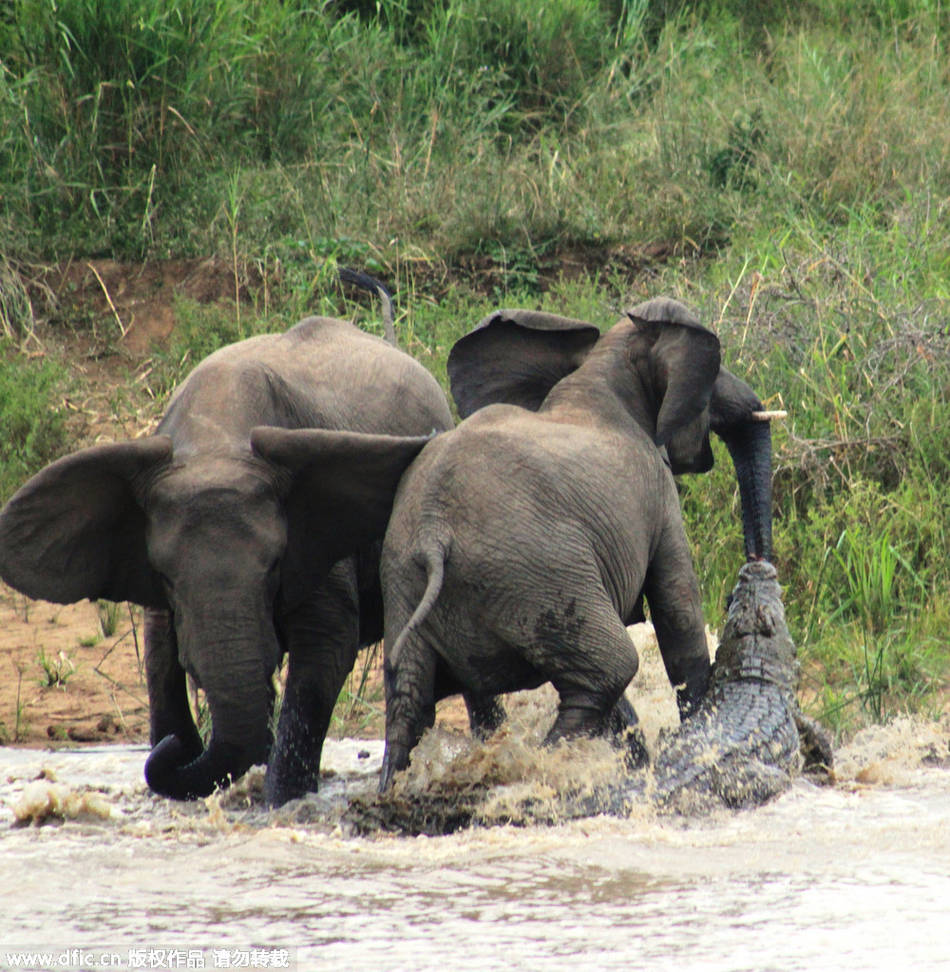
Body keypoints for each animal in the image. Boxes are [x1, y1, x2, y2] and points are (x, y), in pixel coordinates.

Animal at [0, 278, 454, 808]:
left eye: (275, 565)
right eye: (166, 576)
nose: (176, 748)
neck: (215, 443)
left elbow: (326, 646)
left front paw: (280, 802)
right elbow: (159, 654)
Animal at [366, 296, 780, 788]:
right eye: (713, 374)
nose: (756, 565)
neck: (605, 365)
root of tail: (434, 532)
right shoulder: (657, 494)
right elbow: (677, 608)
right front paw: (700, 734)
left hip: (404, 576)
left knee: (409, 699)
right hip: (538, 574)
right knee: (608, 670)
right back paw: (550, 765)